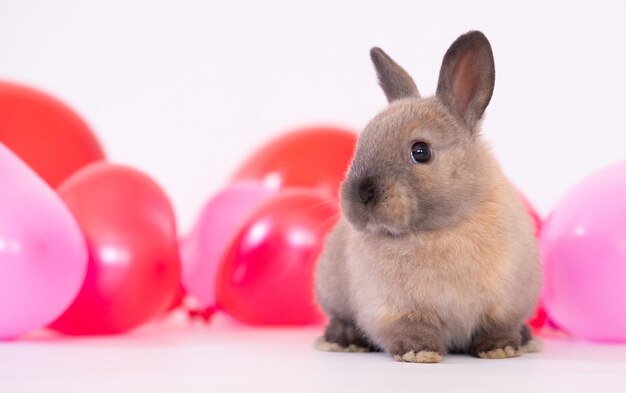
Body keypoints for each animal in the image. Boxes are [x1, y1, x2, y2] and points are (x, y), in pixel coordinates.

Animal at [314, 30, 540, 362]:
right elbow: (411, 331)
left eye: (420, 152)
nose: (360, 193)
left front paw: (501, 349)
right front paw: (419, 353)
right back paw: (342, 341)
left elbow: (497, 327)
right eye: (361, 143)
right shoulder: (394, 310)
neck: (440, 228)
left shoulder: (504, 305)